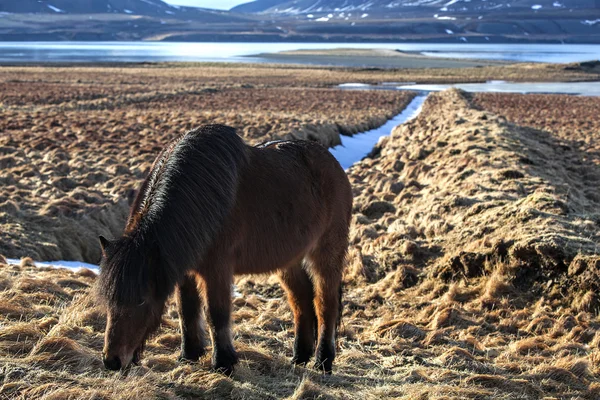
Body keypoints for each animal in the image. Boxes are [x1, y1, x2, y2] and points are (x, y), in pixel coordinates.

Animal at [96, 125, 354, 376]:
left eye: (141, 301)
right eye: (109, 299)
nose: (112, 361)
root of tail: (333, 164)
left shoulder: (217, 269)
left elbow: (216, 314)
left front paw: (223, 363)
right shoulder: (185, 270)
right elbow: (186, 310)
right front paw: (189, 355)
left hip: (327, 254)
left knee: (325, 303)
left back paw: (323, 361)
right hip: (290, 260)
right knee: (301, 300)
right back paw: (300, 357)